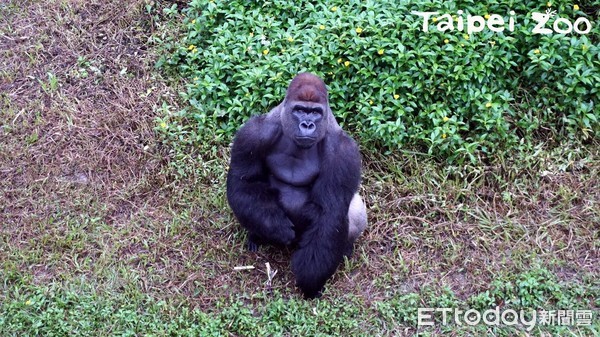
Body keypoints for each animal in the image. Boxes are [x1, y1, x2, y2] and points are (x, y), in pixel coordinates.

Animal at [225, 71, 366, 296]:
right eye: (300, 110)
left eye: (315, 112)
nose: (307, 124)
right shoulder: (253, 133)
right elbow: (245, 182)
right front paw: (275, 228)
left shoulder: (344, 153)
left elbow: (329, 211)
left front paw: (310, 281)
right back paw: (256, 236)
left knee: (354, 207)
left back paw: (346, 248)